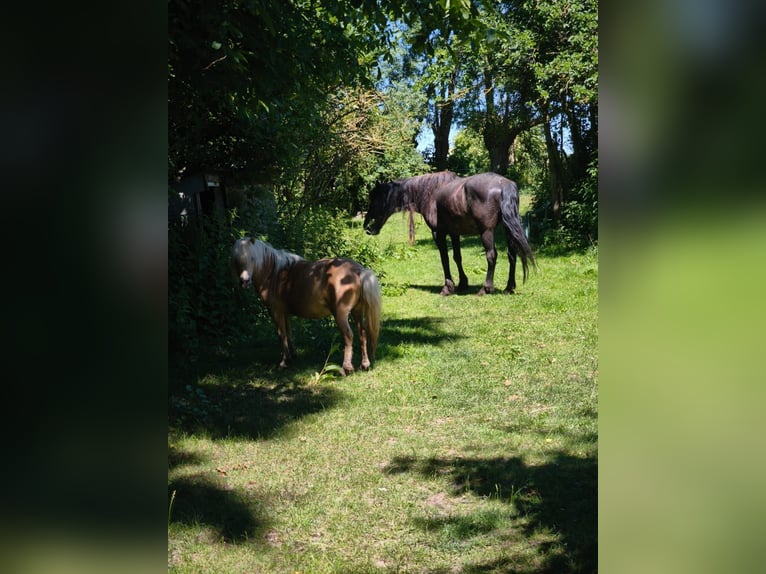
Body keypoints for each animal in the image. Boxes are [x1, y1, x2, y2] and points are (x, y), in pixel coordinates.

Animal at [231, 237, 381, 374]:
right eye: (237, 260)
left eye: (252, 258)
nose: (244, 281)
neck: (274, 274)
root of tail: (358, 270)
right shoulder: (284, 312)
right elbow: (288, 333)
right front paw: (292, 356)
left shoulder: (275, 311)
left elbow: (281, 334)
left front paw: (284, 361)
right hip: (357, 312)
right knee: (362, 334)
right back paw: (365, 364)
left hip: (341, 315)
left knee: (349, 336)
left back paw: (346, 368)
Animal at [363, 171, 535, 296]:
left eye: (375, 199)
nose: (367, 227)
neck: (430, 193)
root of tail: (503, 184)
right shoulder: (454, 233)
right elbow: (457, 257)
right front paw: (462, 283)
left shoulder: (438, 233)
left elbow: (444, 259)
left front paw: (448, 287)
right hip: (507, 228)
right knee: (512, 255)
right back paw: (508, 288)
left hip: (486, 232)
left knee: (491, 256)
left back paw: (485, 288)